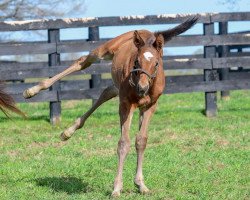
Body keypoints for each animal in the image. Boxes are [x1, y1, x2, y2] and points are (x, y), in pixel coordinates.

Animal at [22, 16, 197, 197]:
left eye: (156, 63)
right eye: (136, 61)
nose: (142, 88)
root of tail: (146, 32)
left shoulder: (150, 106)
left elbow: (141, 140)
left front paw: (141, 184)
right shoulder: (126, 104)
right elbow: (123, 143)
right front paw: (117, 188)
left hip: (118, 84)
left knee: (107, 91)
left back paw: (68, 131)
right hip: (106, 50)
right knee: (82, 62)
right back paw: (32, 90)